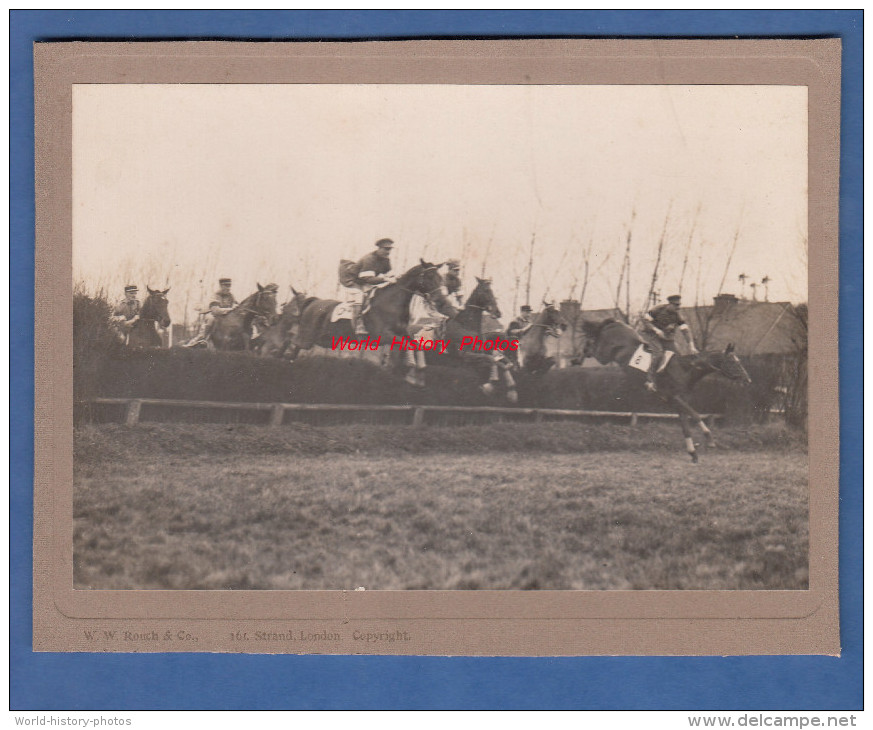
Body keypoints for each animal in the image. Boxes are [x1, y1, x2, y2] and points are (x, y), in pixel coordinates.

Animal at [290, 260, 460, 362]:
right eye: (430, 277)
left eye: (440, 278)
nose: (441, 300)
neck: (392, 303)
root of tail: (314, 302)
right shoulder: (383, 336)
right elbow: (404, 344)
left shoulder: (403, 333)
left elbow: (413, 343)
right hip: (306, 338)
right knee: (293, 348)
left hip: (319, 339)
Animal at [580, 318, 748, 460]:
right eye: (733, 362)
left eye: (739, 361)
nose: (747, 380)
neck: (686, 369)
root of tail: (614, 322)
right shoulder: (674, 397)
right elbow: (696, 415)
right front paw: (710, 439)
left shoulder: (677, 402)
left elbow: (685, 426)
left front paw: (692, 452)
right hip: (604, 354)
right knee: (592, 347)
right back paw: (578, 356)